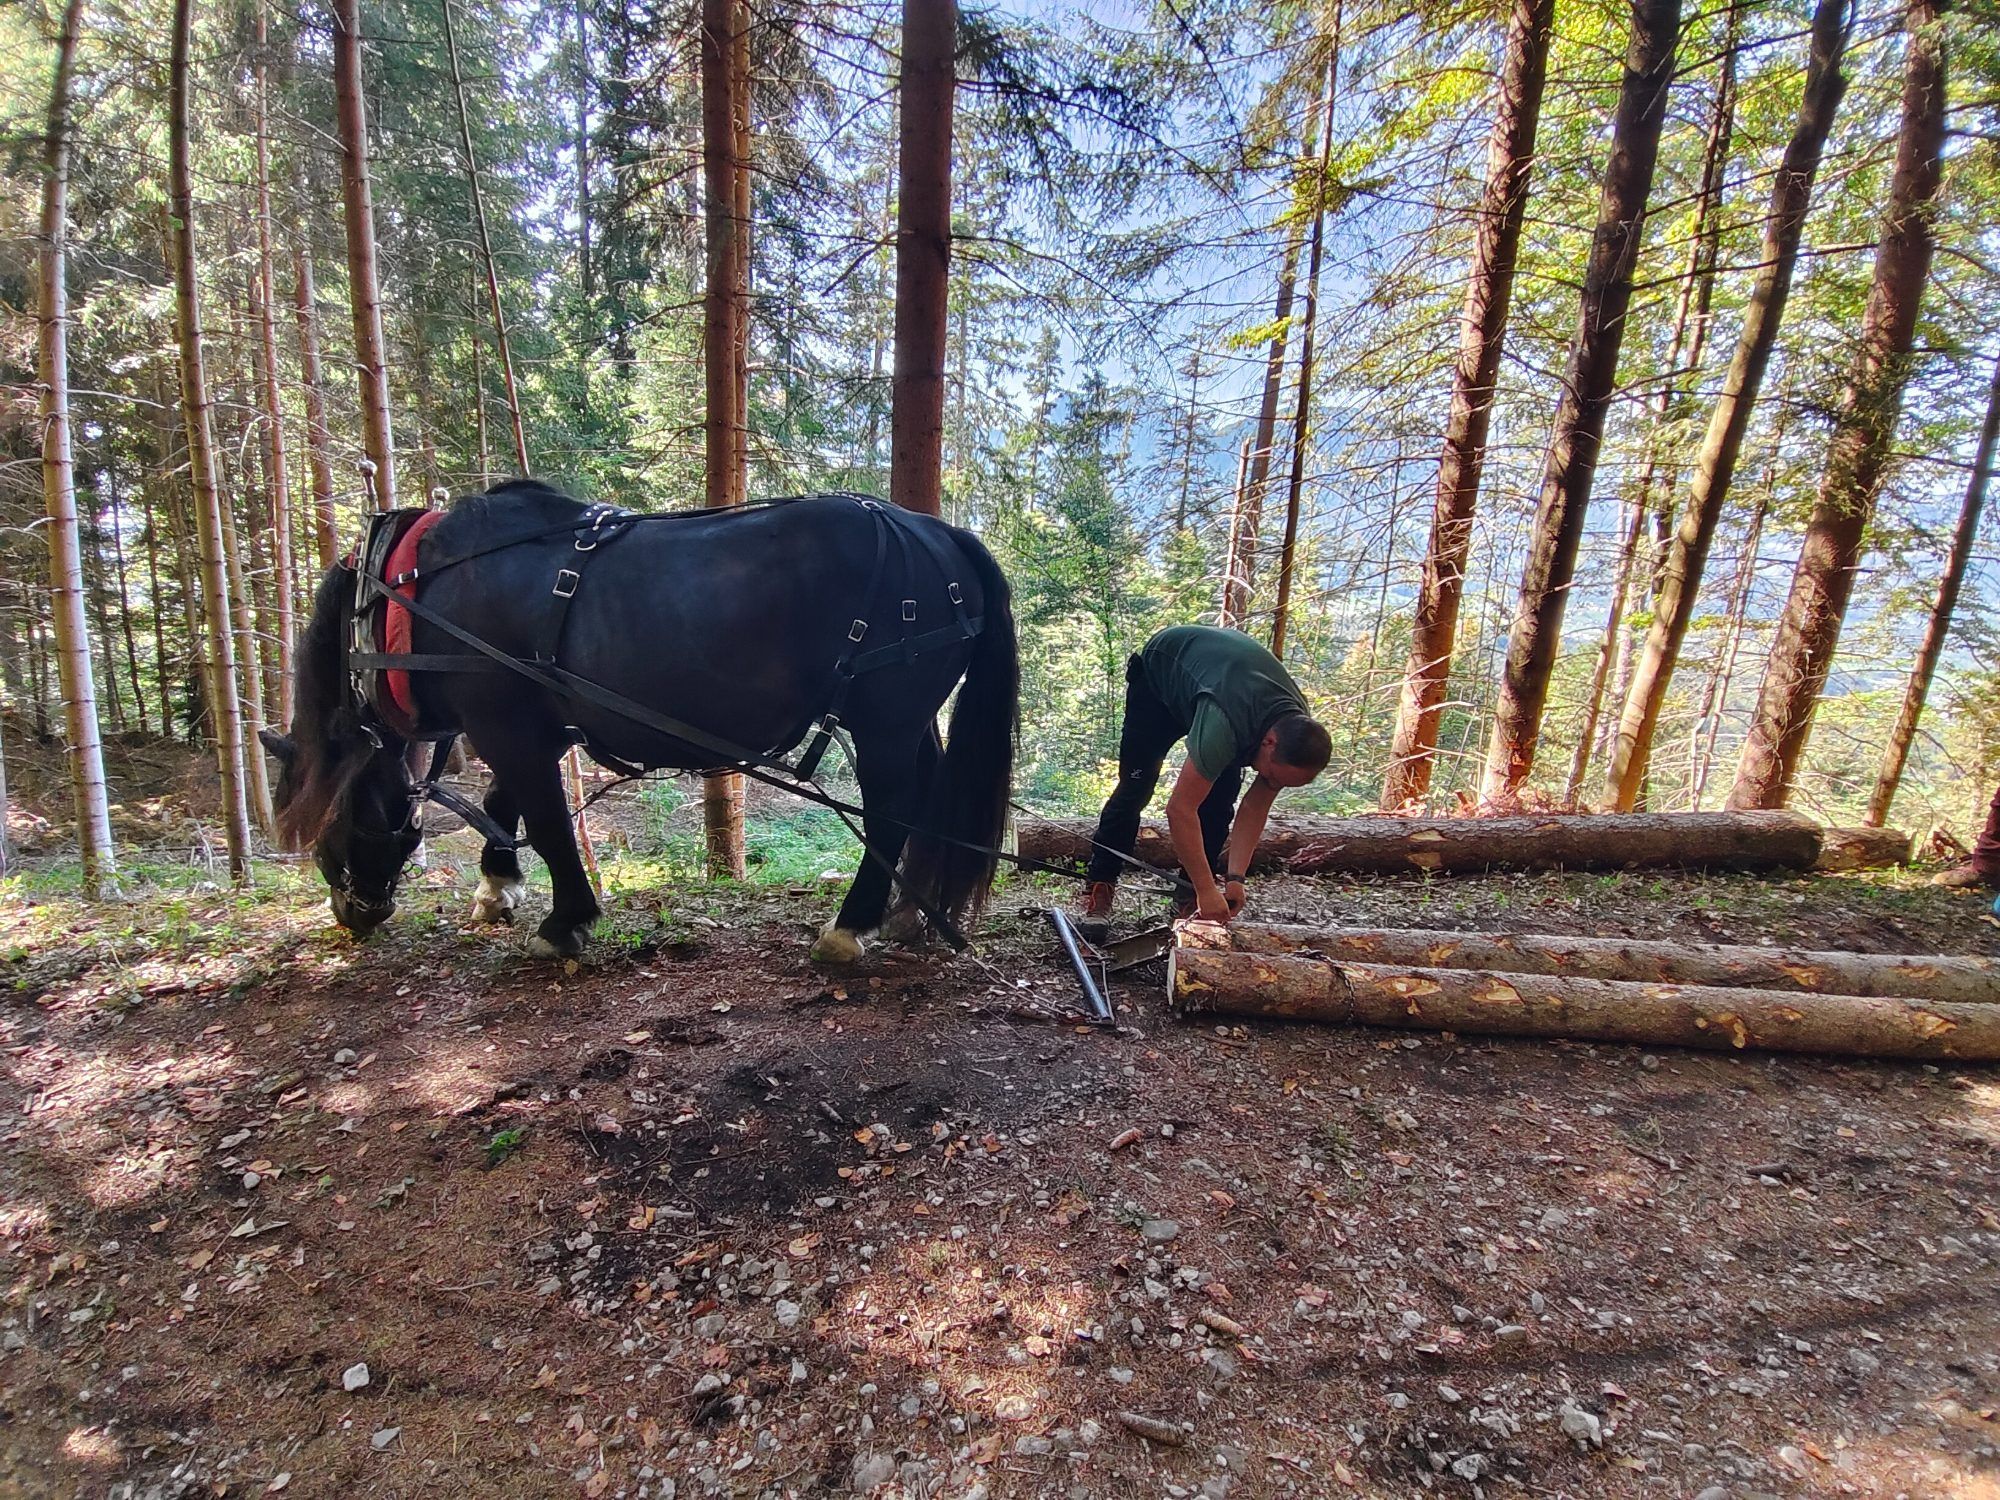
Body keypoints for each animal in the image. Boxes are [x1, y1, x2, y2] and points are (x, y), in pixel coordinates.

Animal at [261, 479, 1018, 962]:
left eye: (327, 814)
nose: (353, 914)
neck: (411, 595)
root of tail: (940, 532)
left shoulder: (502, 719)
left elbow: (543, 817)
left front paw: (563, 921)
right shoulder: (525, 723)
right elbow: (505, 802)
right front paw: (498, 887)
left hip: (883, 721)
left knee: (891, 810)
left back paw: (850, 926)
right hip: (906, 719)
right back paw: (909, 913)